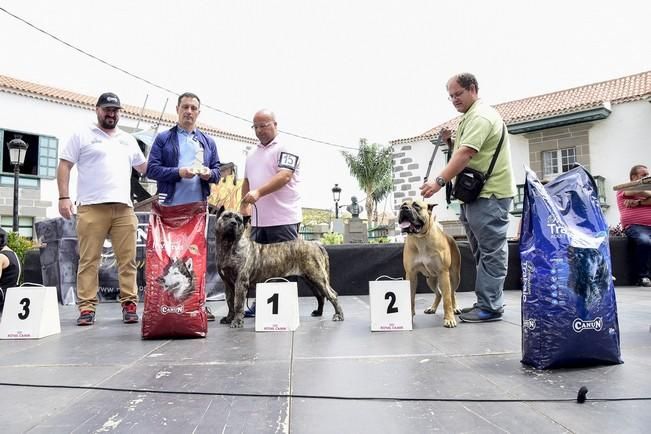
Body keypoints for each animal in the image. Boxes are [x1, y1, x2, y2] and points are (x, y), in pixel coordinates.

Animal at [215, 211, 346, 328]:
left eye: (239, 220)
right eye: (226, 216)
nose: (233, 223)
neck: (228, 246)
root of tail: (316, 244)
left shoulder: (240, 282)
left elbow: (238, 303)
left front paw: (237, 321)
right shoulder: (227, 283)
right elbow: (230, 302)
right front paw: (228, 318)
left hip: (318, 277)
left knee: (332, 295)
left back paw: (338, 315)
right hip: (310, 279)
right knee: (320, 295)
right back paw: (318, 312)